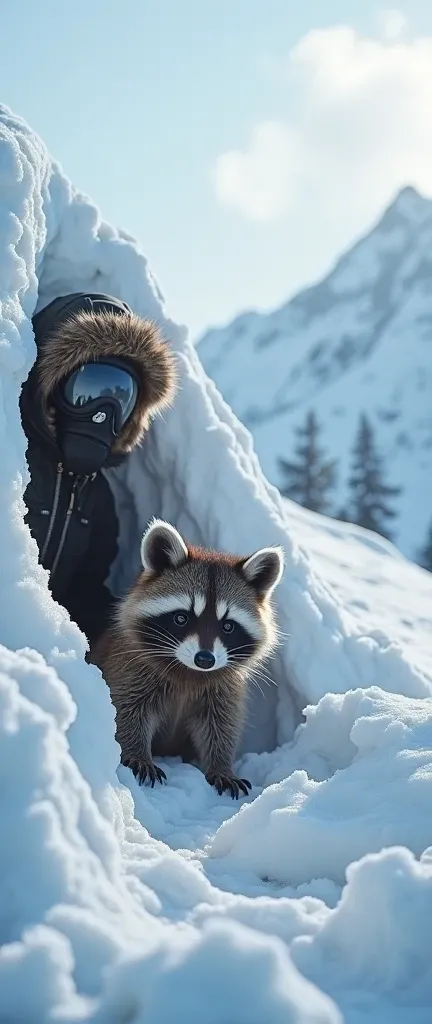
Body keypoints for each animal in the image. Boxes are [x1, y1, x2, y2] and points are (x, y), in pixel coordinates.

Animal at [92, 520, 282, 798]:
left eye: (228, 626)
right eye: (181, 618)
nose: (205, 659)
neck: (189, 672)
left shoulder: (224, 689)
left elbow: (221, 725)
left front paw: (221, 765)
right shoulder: (129, 668)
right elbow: (126, 711)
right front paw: (137, 753)